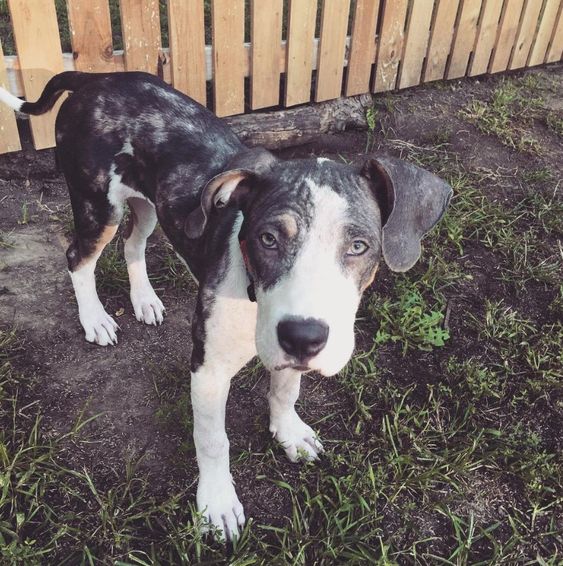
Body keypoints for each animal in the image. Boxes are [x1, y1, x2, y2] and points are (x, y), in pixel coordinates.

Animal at [0, 73, 450, 544]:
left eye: (359, 246)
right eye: (268, 238)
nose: (304, 337)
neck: (251, 296)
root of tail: (96, 78)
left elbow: (286, 389)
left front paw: (289, 432)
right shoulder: (208, 370)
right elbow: (213, 440)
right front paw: (216, 505)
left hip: (150, 205)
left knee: (132, 243)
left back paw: (144, 300)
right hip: (97, 204)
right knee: (78, 257)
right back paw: (95, 319)